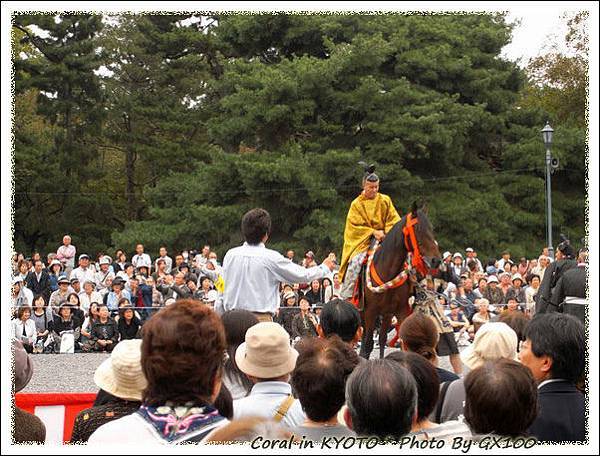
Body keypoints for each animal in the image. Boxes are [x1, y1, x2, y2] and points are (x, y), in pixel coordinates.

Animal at [360, 204, 440, 360]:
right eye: (418, 229)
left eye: (432, 228)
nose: (436, 260)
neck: (387, 272)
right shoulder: (370, 311)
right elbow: (368, 344)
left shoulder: (400, 310)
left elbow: (403, 342)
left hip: (386, 314)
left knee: (382, 338)